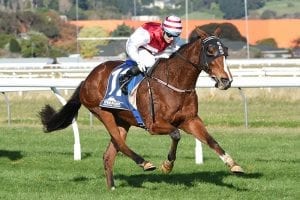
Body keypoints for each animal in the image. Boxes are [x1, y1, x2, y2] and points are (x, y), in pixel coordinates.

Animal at [39, 27, 244, 190]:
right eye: (210, 50)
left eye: (225, 51)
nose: (226, 80)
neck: (174, 82)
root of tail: (87, 79)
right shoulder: (154, 125)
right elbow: (176, 134)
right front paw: (167, 165)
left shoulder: (191, 120)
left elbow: (211, 140)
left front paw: (233, 164)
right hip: (102, 112)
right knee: (120, 144)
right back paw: (144, 163)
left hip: (122, 120)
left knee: (109, 153)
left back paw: (112, 187)